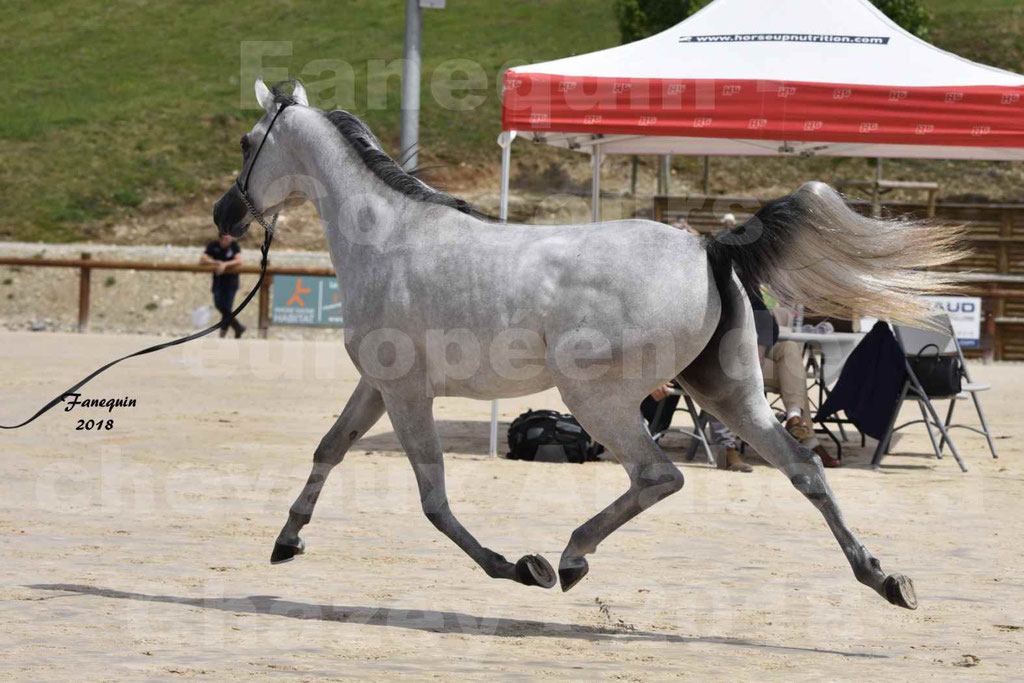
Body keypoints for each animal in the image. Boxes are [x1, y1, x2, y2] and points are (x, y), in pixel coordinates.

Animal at [211, 78, 962, 610]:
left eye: (248, 142)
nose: (225, 214)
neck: (390, 236)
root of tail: (708, 245)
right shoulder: (377, 385)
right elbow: (330, 448)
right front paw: (286, 540)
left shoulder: (404, 392)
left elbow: (433, 498)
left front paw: (518, 567)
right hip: (731, 393)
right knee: (805, 468)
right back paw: (884, 577)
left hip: (595, 396)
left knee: (659, 474)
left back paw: (569, 558)